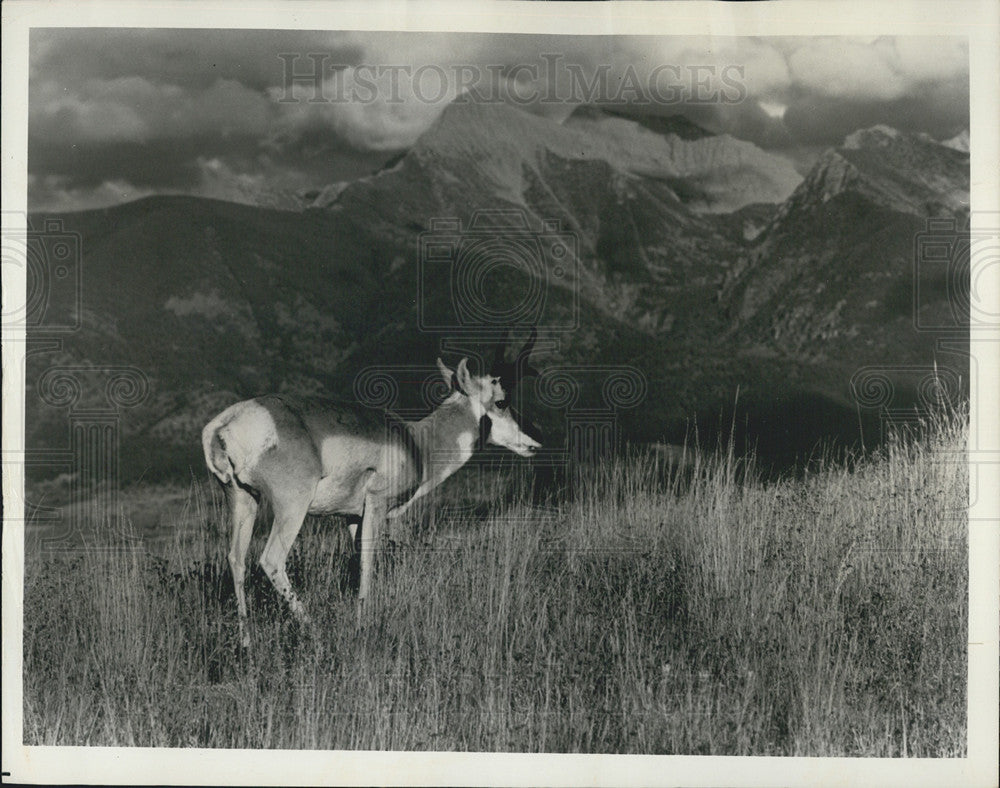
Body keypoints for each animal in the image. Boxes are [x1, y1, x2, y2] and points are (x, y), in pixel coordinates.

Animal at [203, 342, 544, 644]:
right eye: (501, 401)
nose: (536, 439)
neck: (415, 441)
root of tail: (226, 422)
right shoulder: (378, 504)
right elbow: (369, 561)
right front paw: (362, 625)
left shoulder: (353, 517)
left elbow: (357, 562)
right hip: (292, 506)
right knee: (272, 560)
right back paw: (316, 634)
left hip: (243, 499)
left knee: (236, 559)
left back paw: (247, 643)